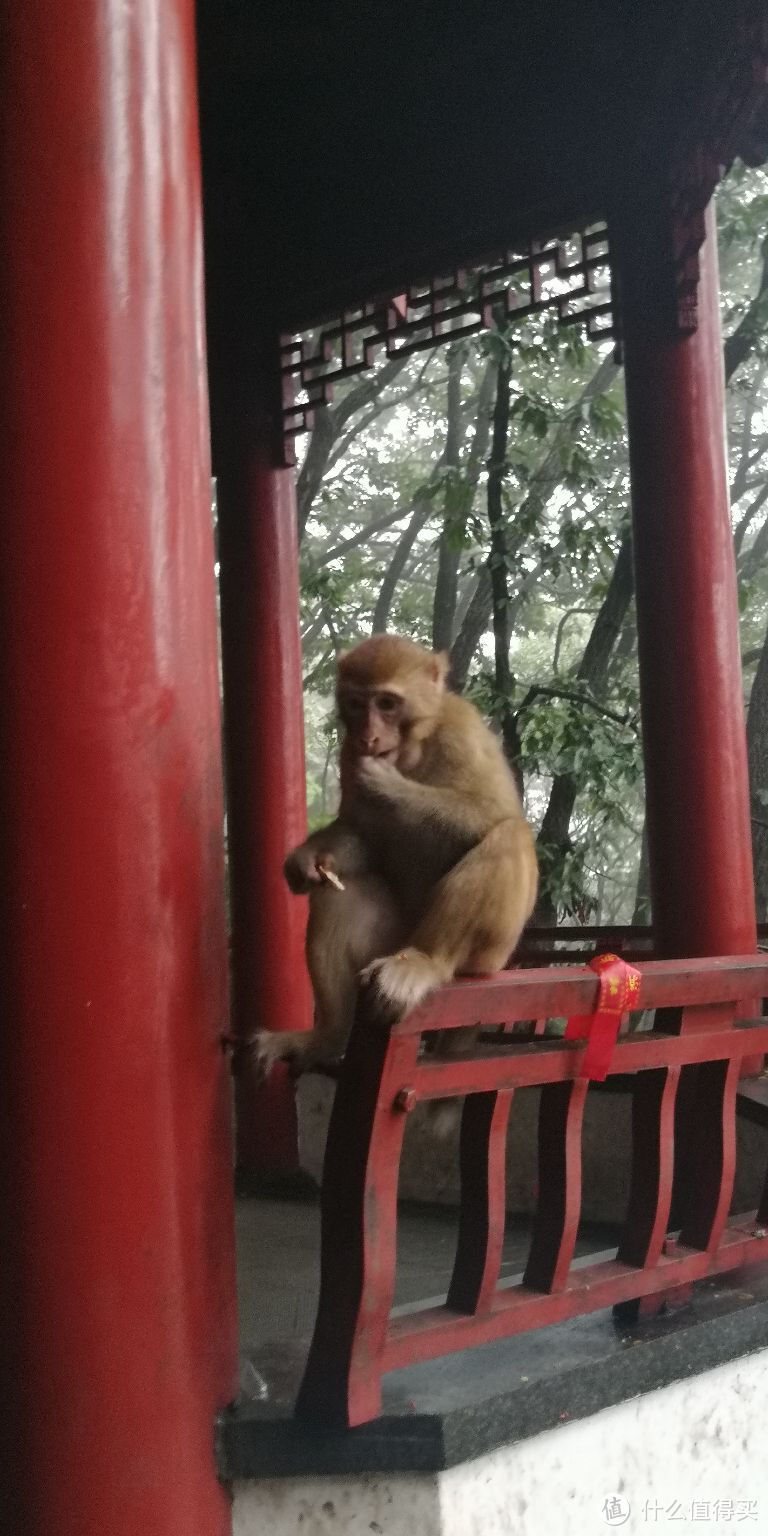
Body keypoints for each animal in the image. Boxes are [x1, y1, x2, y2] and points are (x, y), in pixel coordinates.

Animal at [254, 629, 537, 1075]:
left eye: (387, 703)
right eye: (357, 704)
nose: (368, 736)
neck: (413, 747)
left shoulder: (463, 731)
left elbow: (494, 810)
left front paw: (386, 784)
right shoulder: (347, 751)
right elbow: (362, 836)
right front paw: (306, 859)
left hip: (490, 954)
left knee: (510, 834)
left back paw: (424, 962)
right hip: (386, 944)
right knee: (340, 894)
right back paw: (326, 1038)